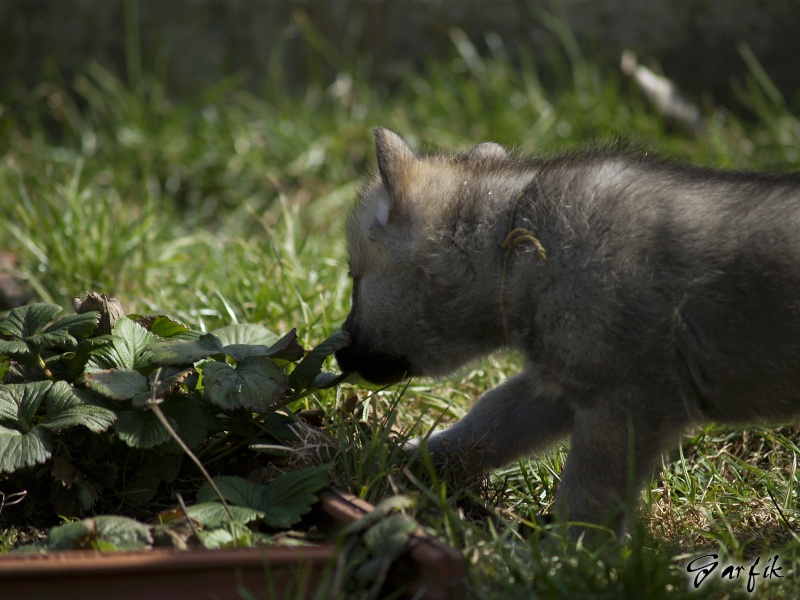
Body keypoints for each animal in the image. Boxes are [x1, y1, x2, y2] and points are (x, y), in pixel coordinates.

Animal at [335, 128, 800, 536]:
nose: (337, 354)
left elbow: (586, 497)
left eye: (354, 276)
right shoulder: (555, 384)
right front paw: (407, 459)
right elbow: (485, 424)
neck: (521, 241)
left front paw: (570, 557)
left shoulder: (621, 406)